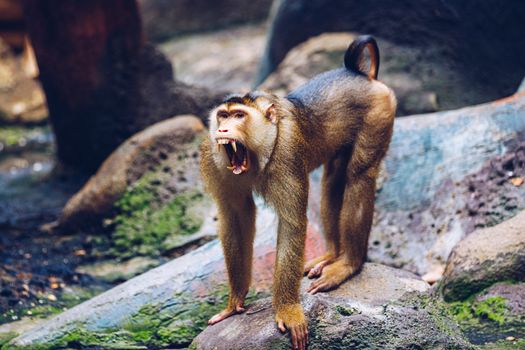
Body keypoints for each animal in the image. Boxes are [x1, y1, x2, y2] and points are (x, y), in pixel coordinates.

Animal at [199, 34, 396, 350]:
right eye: (223, 116)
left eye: (239, 115)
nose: (224, 130)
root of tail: (359, 74)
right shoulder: (212, 157)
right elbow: (236, 220)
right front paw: (234, 301)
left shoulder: (287, 151)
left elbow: (292, 224)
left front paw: (288, 310)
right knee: (333, 178)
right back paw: (332, 253)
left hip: (379, 110)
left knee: (359, 176)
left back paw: (348, 264)